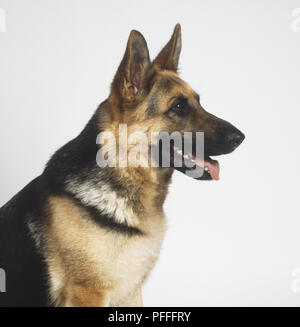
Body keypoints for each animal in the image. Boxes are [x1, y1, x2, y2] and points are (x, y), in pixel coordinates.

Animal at [0, 25, 244, 308]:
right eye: (179, 107)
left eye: (199, 102)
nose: (240, 137)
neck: (123, 170)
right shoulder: (88, 293)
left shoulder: (130, 292)